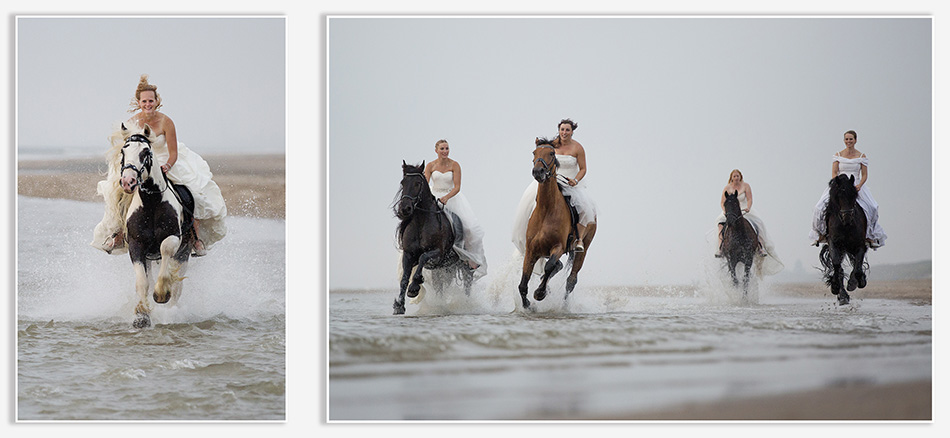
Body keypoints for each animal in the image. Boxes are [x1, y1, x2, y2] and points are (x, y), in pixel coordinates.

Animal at [118, 123, 197, 328]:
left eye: (146, 152)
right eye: (123, 151)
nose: (128, 181)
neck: (152, 203)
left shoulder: (174, 238)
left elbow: (166, 250)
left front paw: (161, 293)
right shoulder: (137, 245)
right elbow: (142, 282)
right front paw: (141, 315)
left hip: (184, 252)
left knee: (177, 287)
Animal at [392, 161, 473, 315]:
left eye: (417, 183)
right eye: (402, 182)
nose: (404, 209)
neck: (421, 222)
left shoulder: (438, 252)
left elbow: (423, 258)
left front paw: (414, 288)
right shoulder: (409, 254)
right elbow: (404, 278)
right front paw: (399, 305)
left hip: (465, 263)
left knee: (467, 282)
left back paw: (467, 305)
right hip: (442, 269)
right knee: (440, 286)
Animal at [517, 138, 596, 310]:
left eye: (552, 153)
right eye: (534, 152)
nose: (538, 172)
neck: (546, 210)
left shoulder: (558, 247)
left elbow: (548, 267)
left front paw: (540, 293)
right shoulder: (531, 250)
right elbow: (523, 282)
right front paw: (528, 305)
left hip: (583, 250)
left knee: (571, 280)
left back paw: (564, 306)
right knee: (558, 267)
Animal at [819, 174, 869, 305]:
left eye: (854, 195)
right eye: (839, 196)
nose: (847, 217)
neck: (845, 226)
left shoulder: (860, 244)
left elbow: (858, 266)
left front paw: (855, 282)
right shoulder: (833, 243)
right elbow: (837, 266)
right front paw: (835, 287)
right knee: (839, 268)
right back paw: (843, 296)